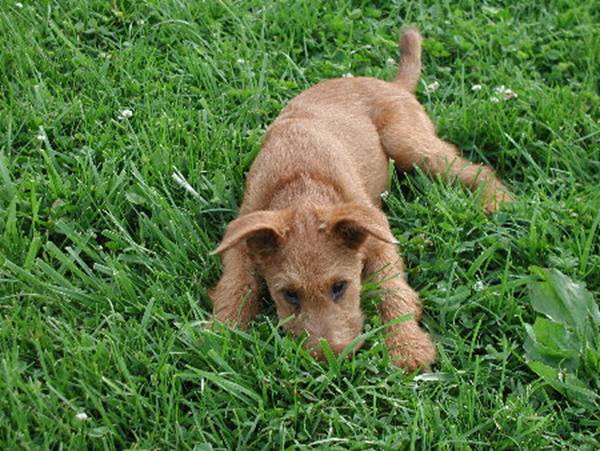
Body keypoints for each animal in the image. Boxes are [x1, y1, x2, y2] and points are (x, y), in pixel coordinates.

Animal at [210, 27, 510, 370]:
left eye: (340, 287)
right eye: (290, 295)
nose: (331, 357)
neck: (301, 181)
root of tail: (391, 84)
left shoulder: (378, 237)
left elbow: (392, 290)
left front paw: (407, 346)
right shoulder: (242, 238)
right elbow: (236, 284)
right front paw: (222, 334)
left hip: (407, 143)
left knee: (474, 168)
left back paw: (496, 200)